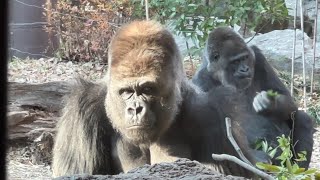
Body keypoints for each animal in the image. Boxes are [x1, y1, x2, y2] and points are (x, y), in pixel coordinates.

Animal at [192, 26, 316, 169]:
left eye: (245, 58)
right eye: (235, 61)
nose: (245, 69)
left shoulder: (258, 57)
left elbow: (288, 101)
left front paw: (268, 102)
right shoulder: (199, 82)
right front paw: (258, 157)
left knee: (302, 118)